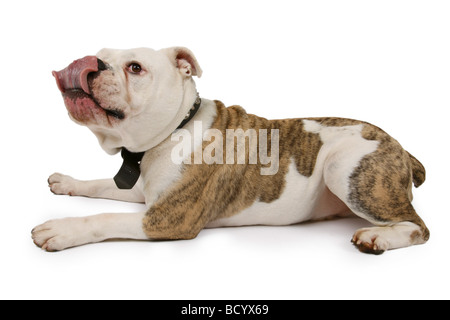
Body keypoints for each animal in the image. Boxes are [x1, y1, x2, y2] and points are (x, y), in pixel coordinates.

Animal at [30, 47, 428, 255]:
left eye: (135, 68)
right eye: (100, 55)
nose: (91, 63)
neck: (174, 128)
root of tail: (400, 147)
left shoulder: (167, 218)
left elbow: (104, 218)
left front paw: (61, 230)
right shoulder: (143, 191)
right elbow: (99, 185)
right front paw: (67, 182)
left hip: (343, 169)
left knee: (419, 227)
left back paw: (379, 236)